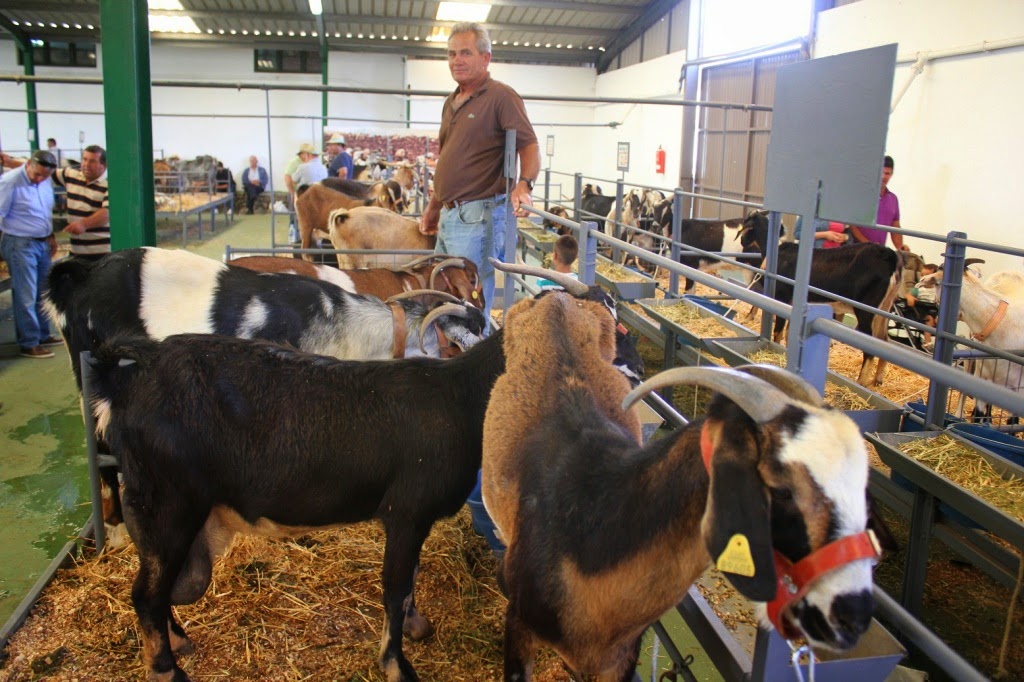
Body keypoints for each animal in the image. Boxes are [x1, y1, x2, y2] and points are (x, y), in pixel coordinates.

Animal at [482, 303, 881, 682]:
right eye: (782, 490)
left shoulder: (623, 655)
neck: (592, 526)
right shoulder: (519, 626)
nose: (853, 617)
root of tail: (556, 300)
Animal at [755, 242, 901, 387]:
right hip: (884, 311)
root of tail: (888, 255)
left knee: (870, 349)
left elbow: (778, 332)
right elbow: (788, 332)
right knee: (883, 341)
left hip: (866, 312)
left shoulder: (782, 299)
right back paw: (877, 380)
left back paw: (860, 383)